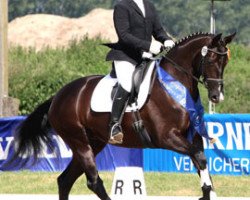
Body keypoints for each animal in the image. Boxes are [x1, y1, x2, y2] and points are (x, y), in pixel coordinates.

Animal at [10, 32, 234, 199]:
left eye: (225, 62)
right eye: (211, 59)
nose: (217, 96)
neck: (174, 84)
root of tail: (58, 96)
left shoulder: (192, 137)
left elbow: (201, 160)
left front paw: (207, 191)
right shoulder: (166, 137)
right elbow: (199, 158)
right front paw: (206, 191)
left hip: (93, 143)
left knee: (65, 181)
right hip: (80, 142)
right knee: (93, 182)